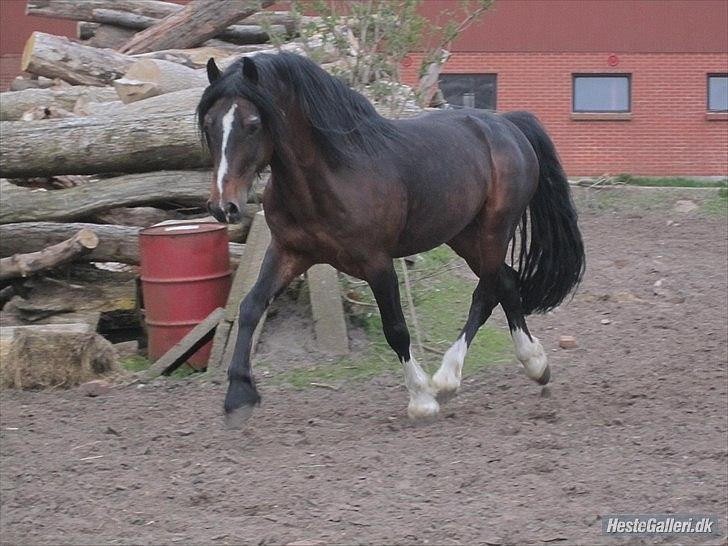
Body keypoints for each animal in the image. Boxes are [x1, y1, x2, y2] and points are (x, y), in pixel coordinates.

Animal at [196, 52, 584, 424]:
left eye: (253, 124)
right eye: (209, 124)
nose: (223, 206)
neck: (332, 175)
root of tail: (506, 125)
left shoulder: (377, 263)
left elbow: (395, 328)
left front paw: (422, 400)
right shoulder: (288, 251)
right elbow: (250, 307)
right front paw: (238, 398)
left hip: (494, 230)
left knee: (487, 290)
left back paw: (450, 378)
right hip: (463, 235)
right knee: (505, 282)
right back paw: (531, 364)